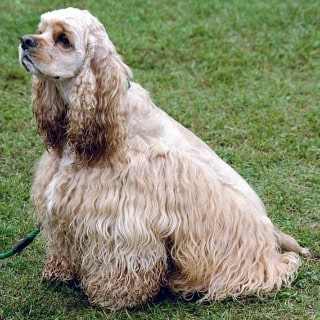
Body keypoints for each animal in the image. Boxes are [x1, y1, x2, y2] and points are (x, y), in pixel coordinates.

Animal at [18, 6, 308, 308]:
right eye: (41, 29)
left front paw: (113, 295)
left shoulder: (123, 213)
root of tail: (271, 235)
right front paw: (58, 271)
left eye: (64, 39)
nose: (25, 41)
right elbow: (63, 241)